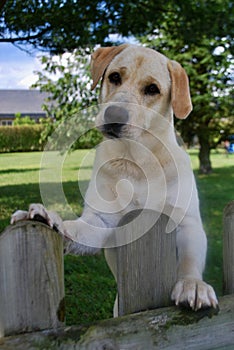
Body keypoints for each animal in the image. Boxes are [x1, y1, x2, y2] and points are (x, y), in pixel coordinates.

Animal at [11, 44, 218, 312]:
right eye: (115, 77)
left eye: (152, 89)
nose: (115, 114)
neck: (136, 161)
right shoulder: (103, 223)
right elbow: (75, 229)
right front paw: (48, 218)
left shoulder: (186, 223)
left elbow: (189, 261)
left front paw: (193, 285)